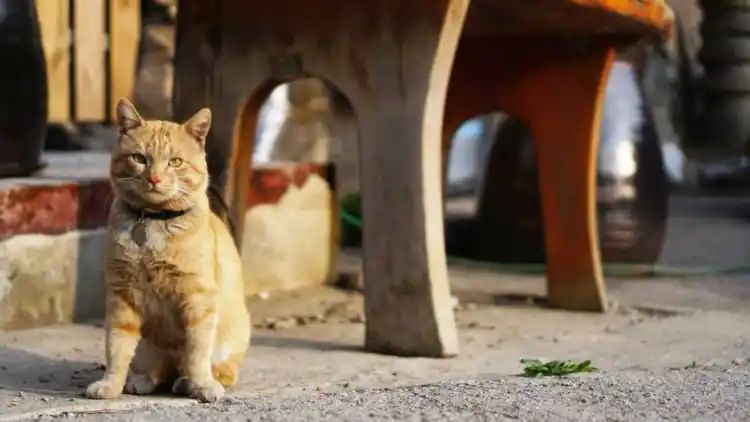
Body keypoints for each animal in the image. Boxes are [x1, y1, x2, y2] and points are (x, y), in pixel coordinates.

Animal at [87, 99, 253, 402]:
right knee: (157, 369)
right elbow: (116, 348)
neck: (153, 221)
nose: (154, 178)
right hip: (147, 348)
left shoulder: (198, 300)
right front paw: (110, 384)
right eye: (139, 158)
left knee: (213, 369)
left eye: (175, 162)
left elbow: (197, 353)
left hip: (232, 337)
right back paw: (142, 380)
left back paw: (189, 383)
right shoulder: (121, 296)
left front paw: (202, 386)